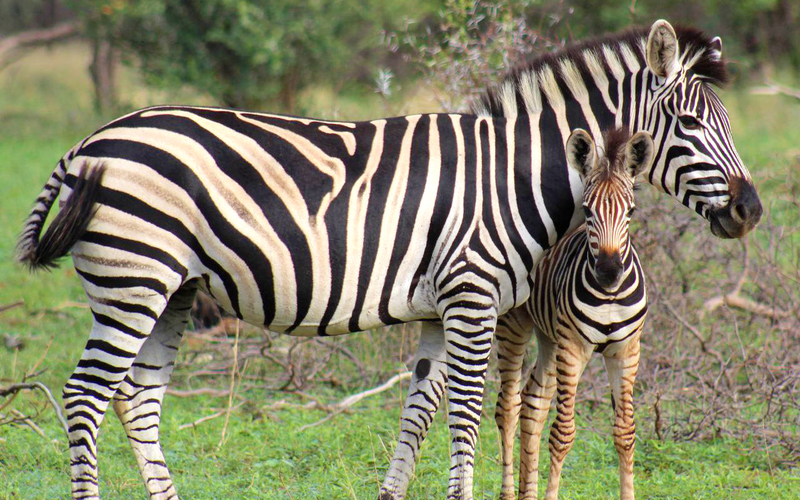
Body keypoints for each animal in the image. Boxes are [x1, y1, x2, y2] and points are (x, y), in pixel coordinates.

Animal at [512, 127, 651, 500]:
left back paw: (526, 491)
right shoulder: (573, 348)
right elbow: (562, 434)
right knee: (507, 407)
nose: (609, 272)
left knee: (532, 403)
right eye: (587, 211)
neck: (610, 296)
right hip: (515, 326)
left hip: (549, 337)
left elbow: (625, 433)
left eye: (630, 211)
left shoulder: (626, 351)